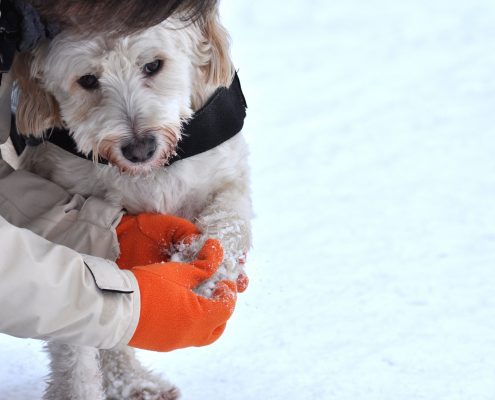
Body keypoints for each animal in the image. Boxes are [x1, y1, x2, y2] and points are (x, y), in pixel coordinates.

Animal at [11, 7, 252, 400]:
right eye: (88, 80)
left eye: (153, 65)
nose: (140, 149)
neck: (148, 174)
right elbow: (77, 341)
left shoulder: (226, 177)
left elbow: (228, 228)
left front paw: (204, 276)